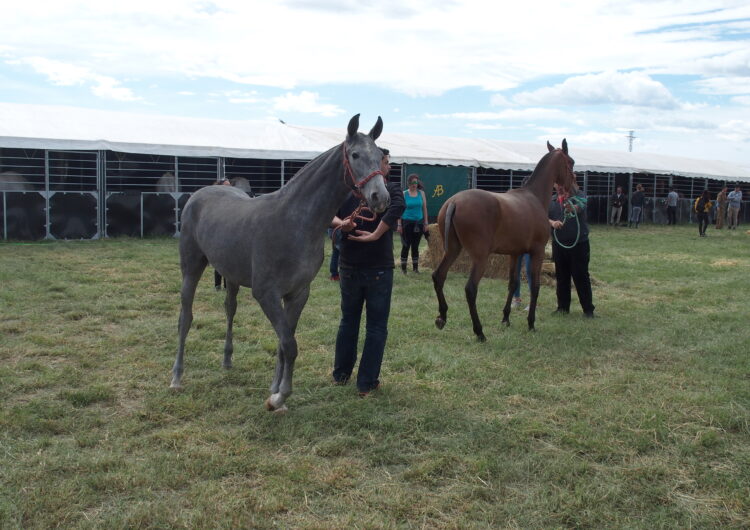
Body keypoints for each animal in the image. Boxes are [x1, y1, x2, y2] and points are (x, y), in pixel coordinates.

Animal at [171, 114, 390, 412]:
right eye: (355, 155)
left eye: (379, 156)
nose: (381, 198)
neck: (294, 221)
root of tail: (198, 195)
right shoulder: (266, 294)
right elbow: (290, 343)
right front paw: (279, 397)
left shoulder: (297, 294)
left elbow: (284, 344)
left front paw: (275, 393)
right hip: (191, 267)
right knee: (186, 317)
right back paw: (176, 378)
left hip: (231, 275)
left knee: (230, 309)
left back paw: (227, 360)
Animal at [432, 138, 580, 340]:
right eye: (570, 162)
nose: (575, 189)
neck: (533, 197)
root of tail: (454, 202)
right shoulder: (537, 252)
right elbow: (535, 286)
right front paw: (531, 323)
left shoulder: (515, 254)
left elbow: (513, 283)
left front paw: (506, 318)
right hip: (480, 258)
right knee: (470, 289)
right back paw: (479, 332)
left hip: (452, 250)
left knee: (439, 276)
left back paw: (442, 317)